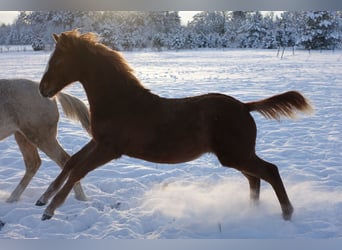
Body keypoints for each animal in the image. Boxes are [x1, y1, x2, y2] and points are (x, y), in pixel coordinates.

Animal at [36, 29, 312, 221]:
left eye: (58, 60)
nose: (42, 89)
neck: (120, 101)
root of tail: (245, 106)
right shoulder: (98, 141)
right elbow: (72, 162)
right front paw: (42, 198)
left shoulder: (110, 149)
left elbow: (78, 170)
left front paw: (50, 210)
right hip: (236, 156)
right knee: (254, 178)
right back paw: (252, 210)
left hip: (236, 155)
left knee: (270, 171)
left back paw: (287, 213)